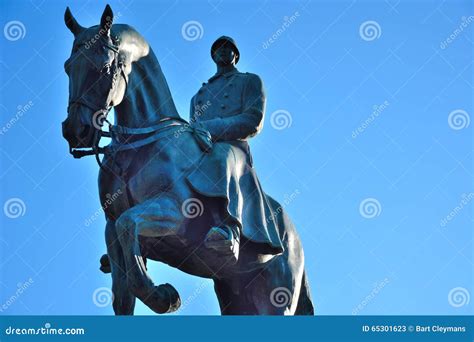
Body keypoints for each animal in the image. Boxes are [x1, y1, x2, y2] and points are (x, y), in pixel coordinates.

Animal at [62, 5, 314, 316]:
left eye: (106, 67)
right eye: (68, 66)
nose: (75, 130)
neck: (137, 148)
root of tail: (294, 238)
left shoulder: (177, 216)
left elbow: (128, 224)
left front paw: (163, 296)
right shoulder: (111, 233)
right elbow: (123, 293)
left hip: (276, 294)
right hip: (237, 292)